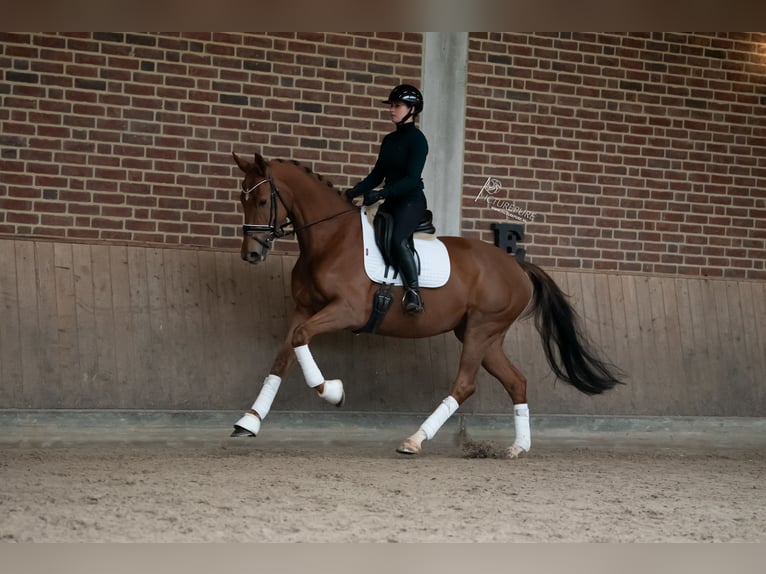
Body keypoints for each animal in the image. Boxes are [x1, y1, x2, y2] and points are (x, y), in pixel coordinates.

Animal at [228, 152, 624, 460]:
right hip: (484, 335)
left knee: (464, 385)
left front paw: (332, 392)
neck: (331, 240)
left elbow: (300, 340)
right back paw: (517, 448)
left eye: (261, 201)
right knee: (516, 381)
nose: (251, 255)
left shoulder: (347, 310)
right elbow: (284, 355)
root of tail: (517, 266)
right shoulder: (304, 309)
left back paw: (414, 440)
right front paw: (249, 421)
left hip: (481, 329)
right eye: (242, 200)